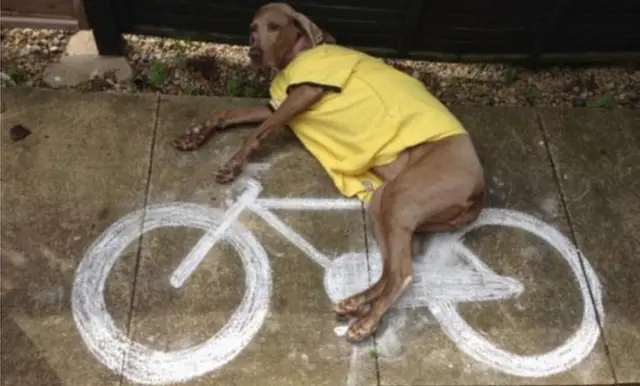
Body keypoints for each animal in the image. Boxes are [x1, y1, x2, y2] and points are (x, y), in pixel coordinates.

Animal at [175, 2, 484, 340]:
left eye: (274, 27)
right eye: (253, 28)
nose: (254, 53)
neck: (300, 52)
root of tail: (479, 190)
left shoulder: (306, 91)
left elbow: (258, 131)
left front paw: (234, 164)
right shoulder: (278, 103)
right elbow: (227, 112)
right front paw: (195, 135)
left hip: (403, 198)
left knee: (403, 274)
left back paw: (366, 322)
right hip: (385, 204)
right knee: (390, 271)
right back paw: (355, 303)